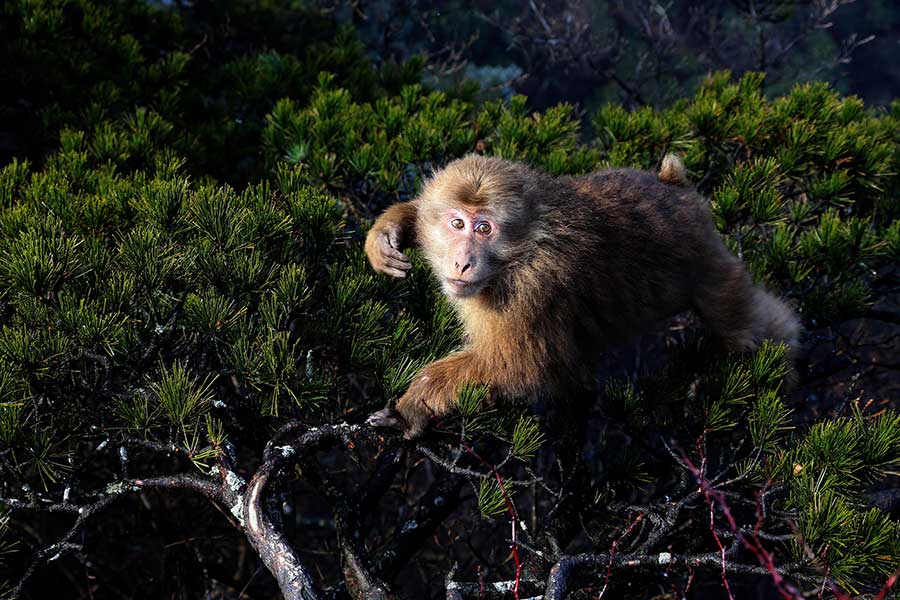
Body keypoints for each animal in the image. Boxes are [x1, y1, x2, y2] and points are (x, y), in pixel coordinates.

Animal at [366, 154, 800, 436]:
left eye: (484, 229)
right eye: (457, 223)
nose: (462, 263)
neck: (520, 252)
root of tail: (672, 183)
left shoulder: (534, 286)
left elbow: (519, 367)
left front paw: (412, 406)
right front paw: (391, 230)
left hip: (707, 262)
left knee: (746, 326)